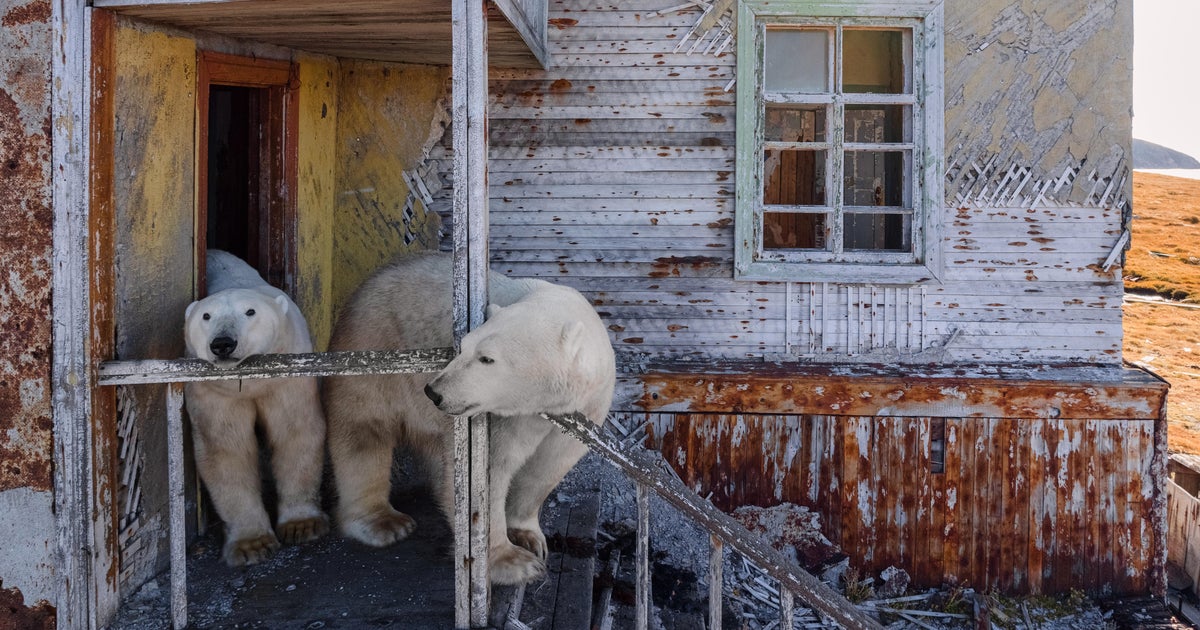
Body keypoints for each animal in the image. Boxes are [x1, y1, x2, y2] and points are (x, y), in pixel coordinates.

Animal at [183, 249, 329, 566]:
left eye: (250, 312)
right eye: (206, 316)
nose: (223, 343)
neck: (250, 382)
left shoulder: (286, 374)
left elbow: (294, 432)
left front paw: (302, 525)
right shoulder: (215, 390)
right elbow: (227, 450)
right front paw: (252, 544)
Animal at [324, 252, 615, 585]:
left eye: (487, 358)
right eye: (463, 346)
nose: (434, 391)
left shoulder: (585, 407)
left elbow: (548, 465)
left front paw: (529, 537)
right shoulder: (503, 415)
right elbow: (488, 473)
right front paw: (513, 561)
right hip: (373, 348)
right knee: (364, 432)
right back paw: (383, 522)